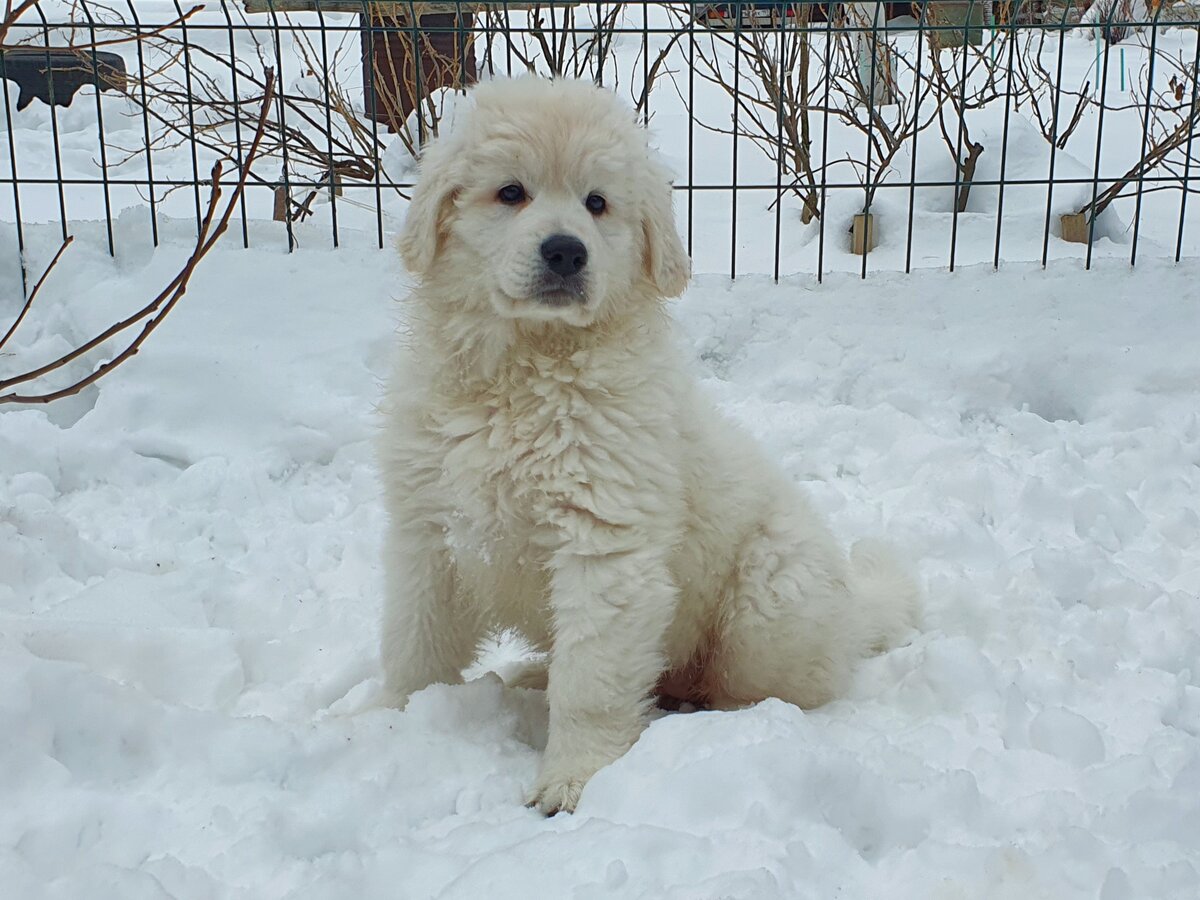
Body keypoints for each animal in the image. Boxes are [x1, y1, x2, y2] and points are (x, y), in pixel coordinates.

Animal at [376, 77, 916, 816]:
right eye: (510, 192)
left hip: (770, 599)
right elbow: (415, 643)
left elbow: (591, 683)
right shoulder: (430, 532)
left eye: (597, 203)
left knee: (779, 686)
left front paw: (572, 779)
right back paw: (530, 674)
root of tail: (856, 612)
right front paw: (390, 721)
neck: (526, 370)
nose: (566, 251)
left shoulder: (604, 546)